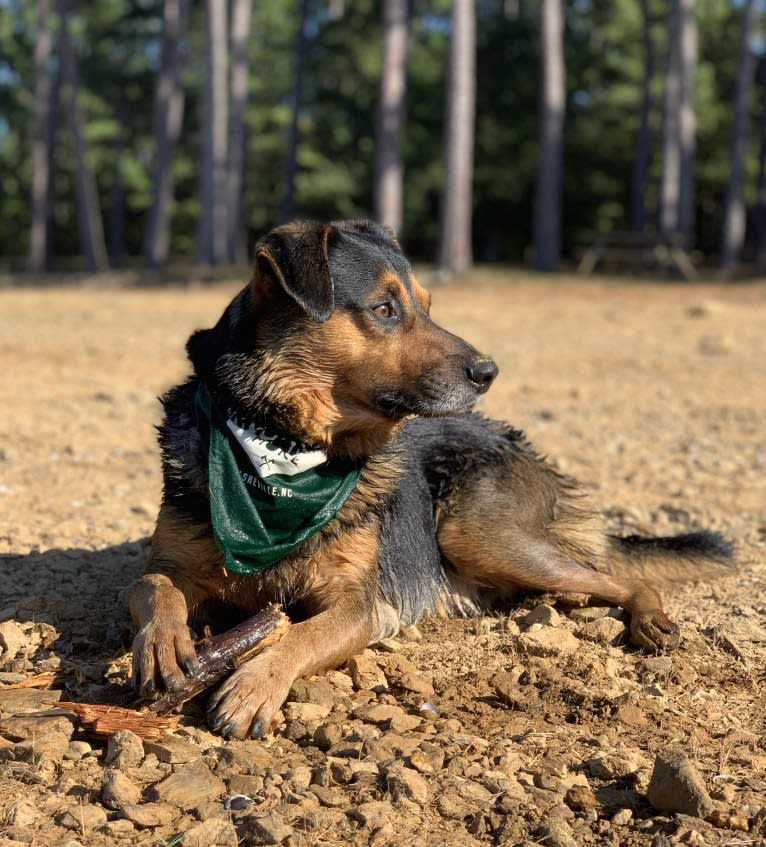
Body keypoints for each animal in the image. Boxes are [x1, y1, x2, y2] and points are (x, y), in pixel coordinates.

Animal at [129, 220, 736, 744]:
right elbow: (152, 587)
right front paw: (161, 642)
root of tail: (520, 443)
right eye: (384, 309)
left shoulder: (360, 604)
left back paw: (648, 617)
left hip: (473, 533)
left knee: (623, 577)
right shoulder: (174, 561)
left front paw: (255, 683)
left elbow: (302, 633)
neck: (287, 445)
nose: (490, 372)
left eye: (426, 307)